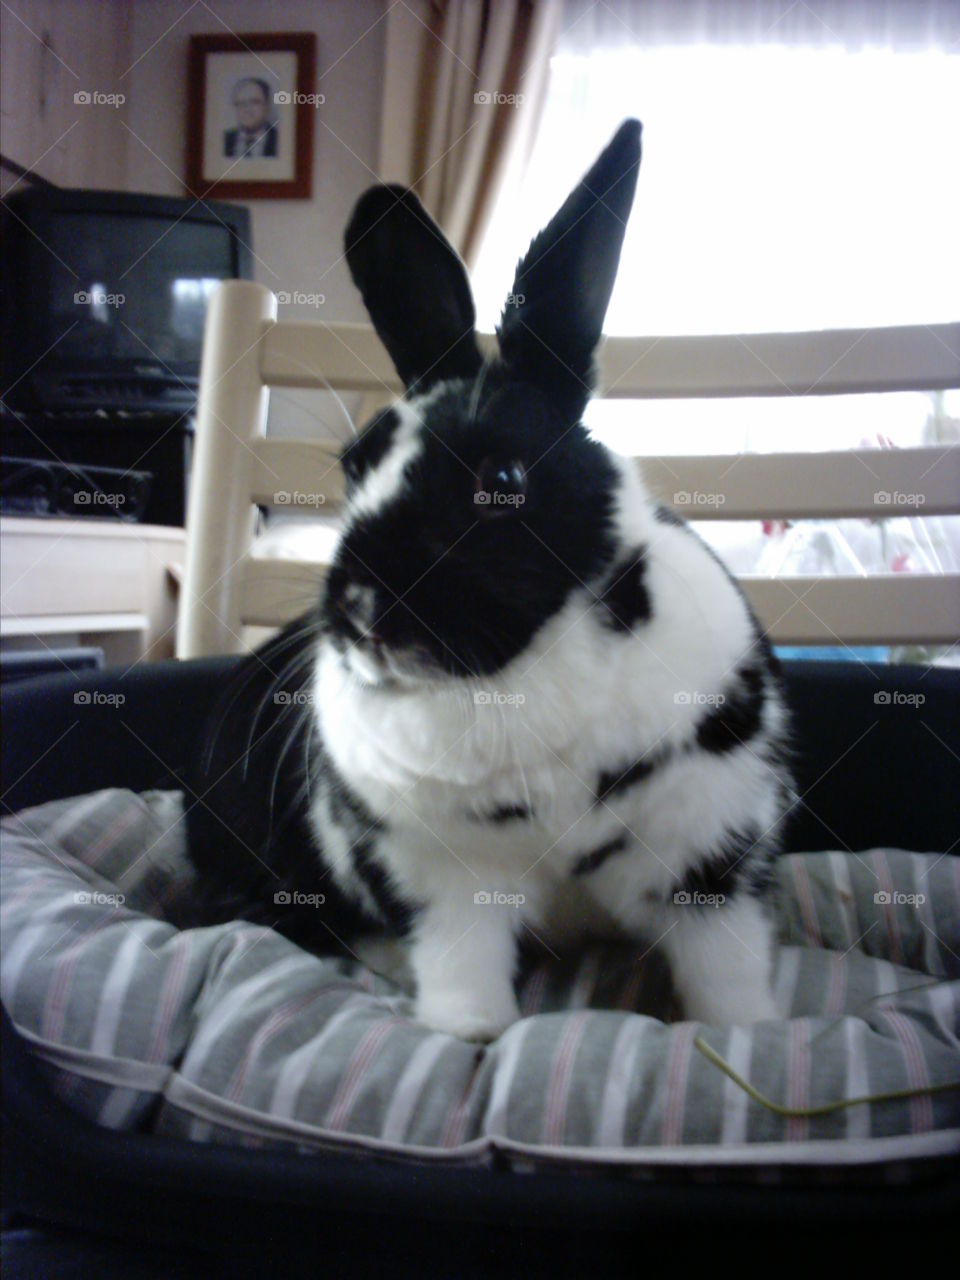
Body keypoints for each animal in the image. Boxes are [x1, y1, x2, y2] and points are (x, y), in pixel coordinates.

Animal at [183, 119, 795, 1041]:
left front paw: (745, 1034)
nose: (361, 608)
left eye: (502, 479)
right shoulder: (442, 880)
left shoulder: (712, 859)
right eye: (353, 467)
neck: (520, 670)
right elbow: (461, 969)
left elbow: (726, 971)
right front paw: (469, 1034)